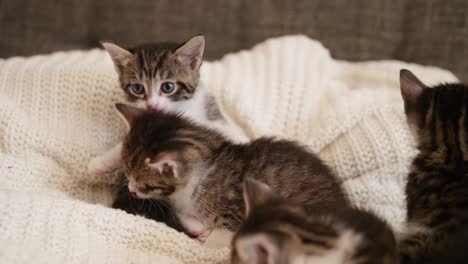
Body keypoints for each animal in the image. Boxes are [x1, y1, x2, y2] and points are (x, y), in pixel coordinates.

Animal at [114, 103, 348, 239]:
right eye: (125, 171)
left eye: (145, 184)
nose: (131, 190)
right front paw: (197, 226)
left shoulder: (234, 215)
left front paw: (206, 237)